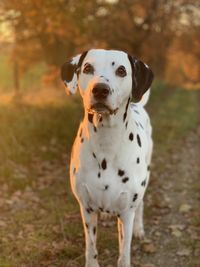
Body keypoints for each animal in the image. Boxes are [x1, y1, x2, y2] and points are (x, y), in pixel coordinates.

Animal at [61, 48, 154, 267]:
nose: (100, 90)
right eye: (87, 68)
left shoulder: (126, 213)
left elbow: (124, 253)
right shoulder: (86, 209)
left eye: (121, 70)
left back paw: (139, 229)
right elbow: (91, 248)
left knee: (141, 204)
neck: (106, 143)